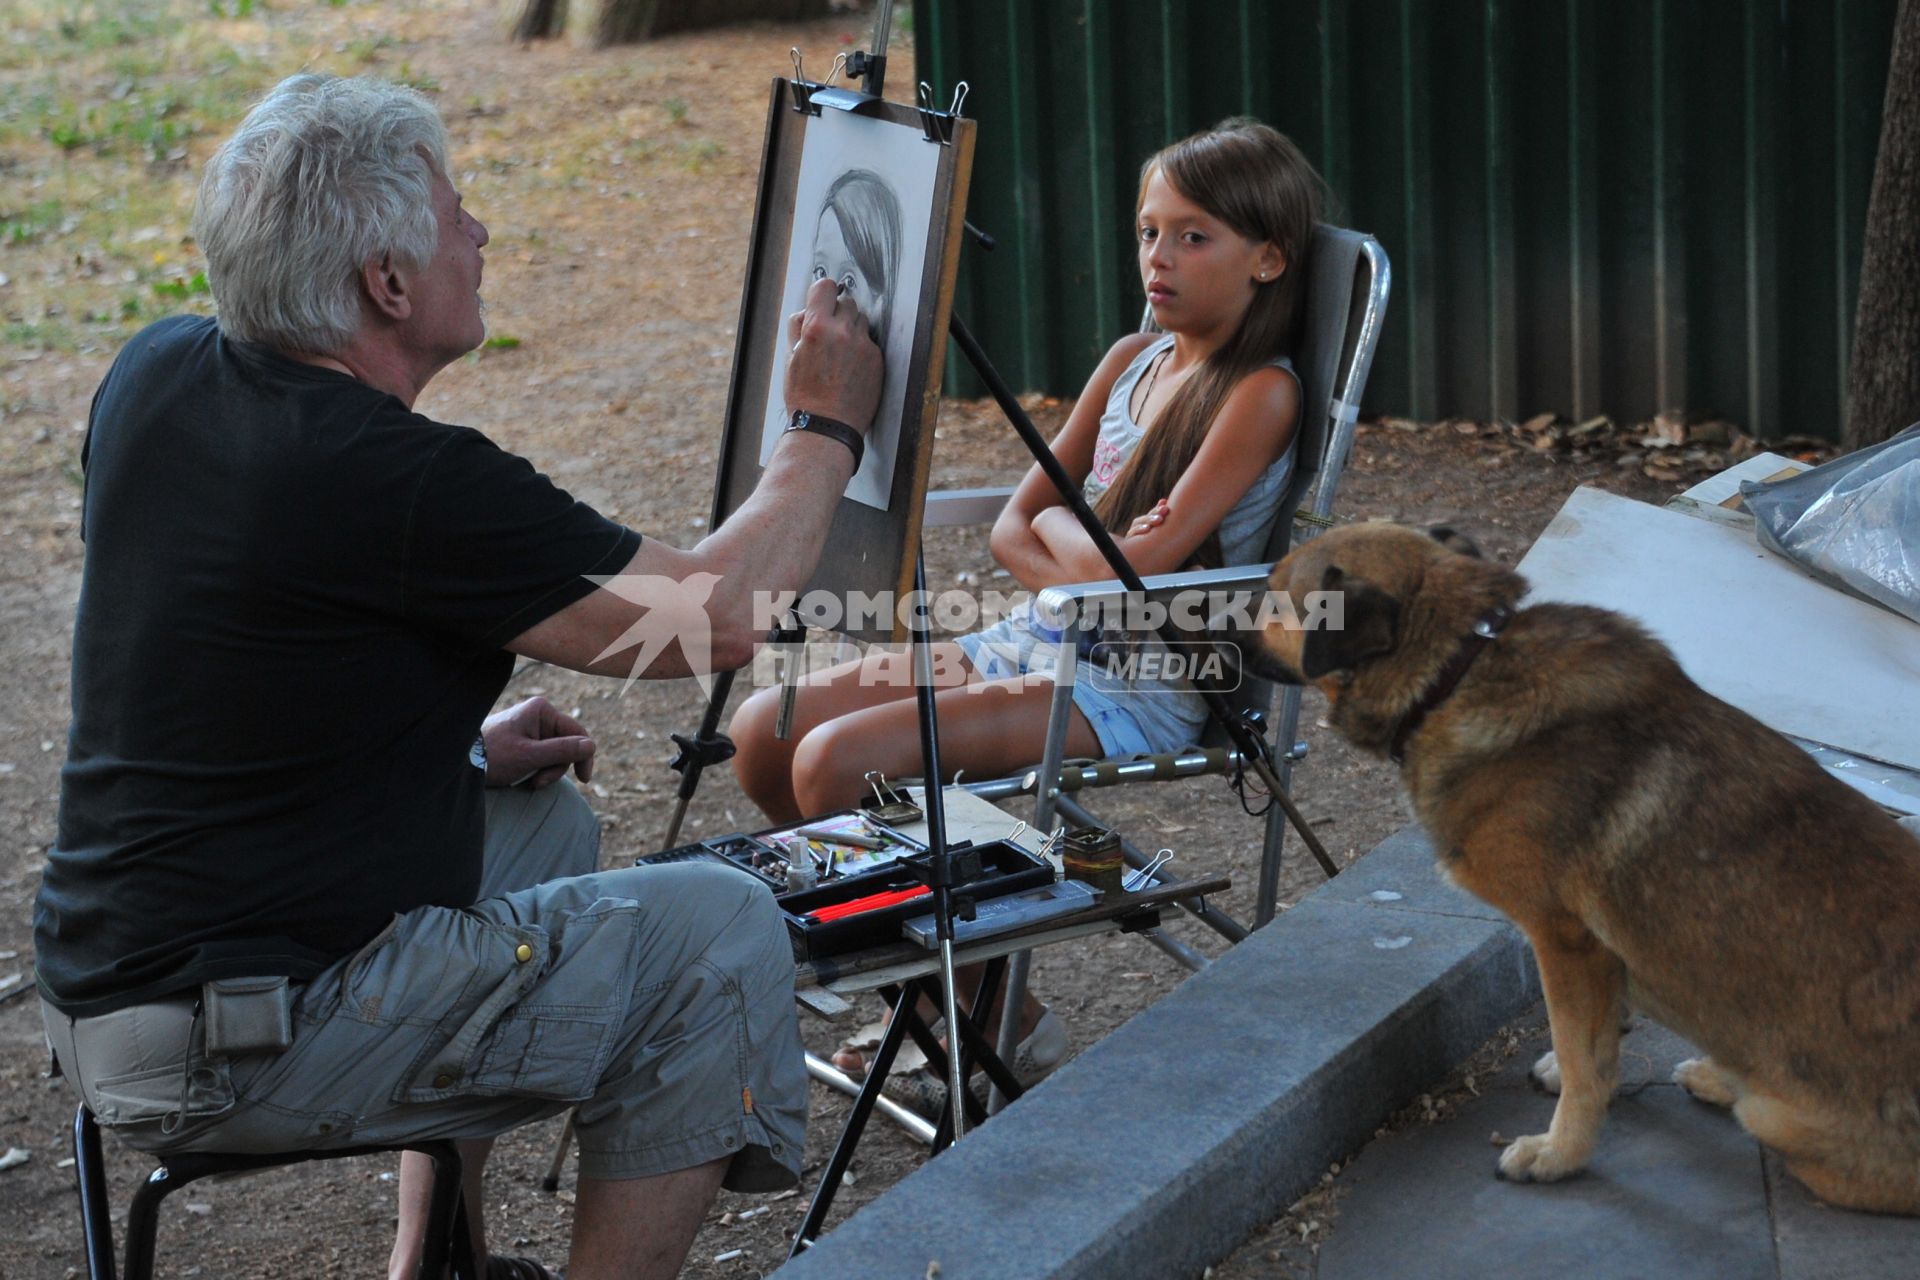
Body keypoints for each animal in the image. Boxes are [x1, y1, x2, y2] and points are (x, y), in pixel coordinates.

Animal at [1259, 518, 1920, 1212]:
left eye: (1273, 598)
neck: (1460, 667)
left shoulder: (1563, 939)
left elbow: (1584, 1062)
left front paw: (1560, 1152)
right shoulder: (1596, 955)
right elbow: (1595, 1041)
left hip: (1783, 1122)